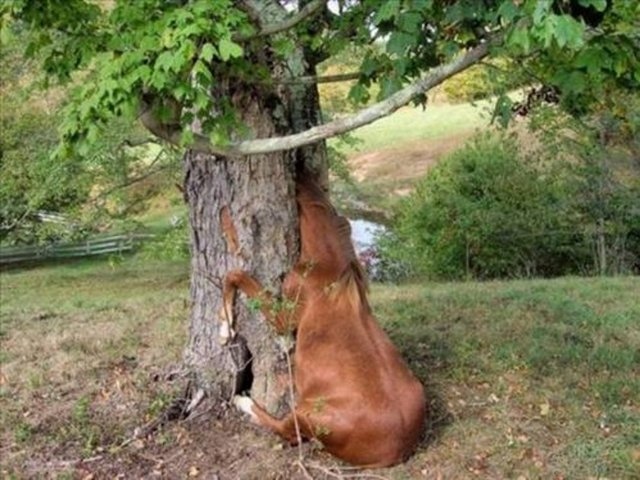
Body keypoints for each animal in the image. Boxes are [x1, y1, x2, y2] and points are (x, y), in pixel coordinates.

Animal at [220, 173, 424, 468]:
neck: (328, 267)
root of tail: (398, 449)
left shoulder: (284, 318)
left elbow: (234, 274)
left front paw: (225, 328)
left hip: (306, 415)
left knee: (286, 430)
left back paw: (242, 401)